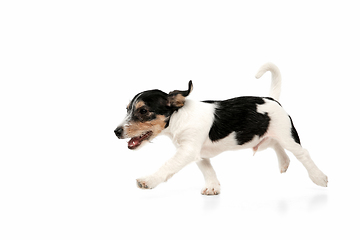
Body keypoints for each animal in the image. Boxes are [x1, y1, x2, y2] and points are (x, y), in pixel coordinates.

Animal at [114, 63, 328, 195]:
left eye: (143, 111)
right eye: (127, 109)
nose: (116, 132)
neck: (179, 117)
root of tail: (272, 99)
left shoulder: (187, 151)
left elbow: (167, 166)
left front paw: (148, 180)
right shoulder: (198, 154)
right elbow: (208, 170)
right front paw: (213, 188)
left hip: (287, 135)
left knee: (302, 153)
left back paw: (319, 177)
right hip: (264, 136)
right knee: (275, 145)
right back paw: (284, 163)